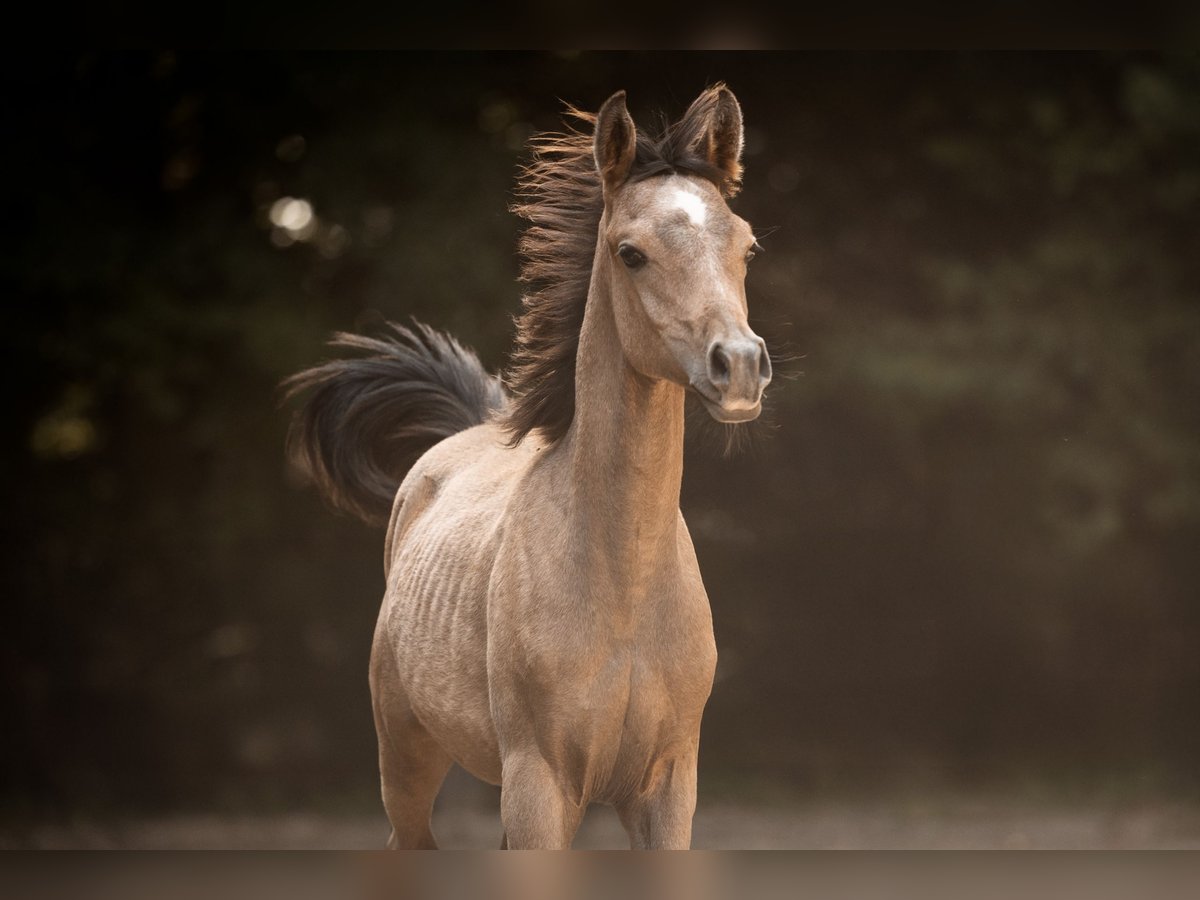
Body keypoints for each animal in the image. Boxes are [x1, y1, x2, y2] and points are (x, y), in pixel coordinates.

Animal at [284, 85, 772, 849]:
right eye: (630, 253)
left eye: (746, 245)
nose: (741, 367)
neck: (622, 587)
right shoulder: (540, 786)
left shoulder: (668, 790)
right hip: (407, 763)